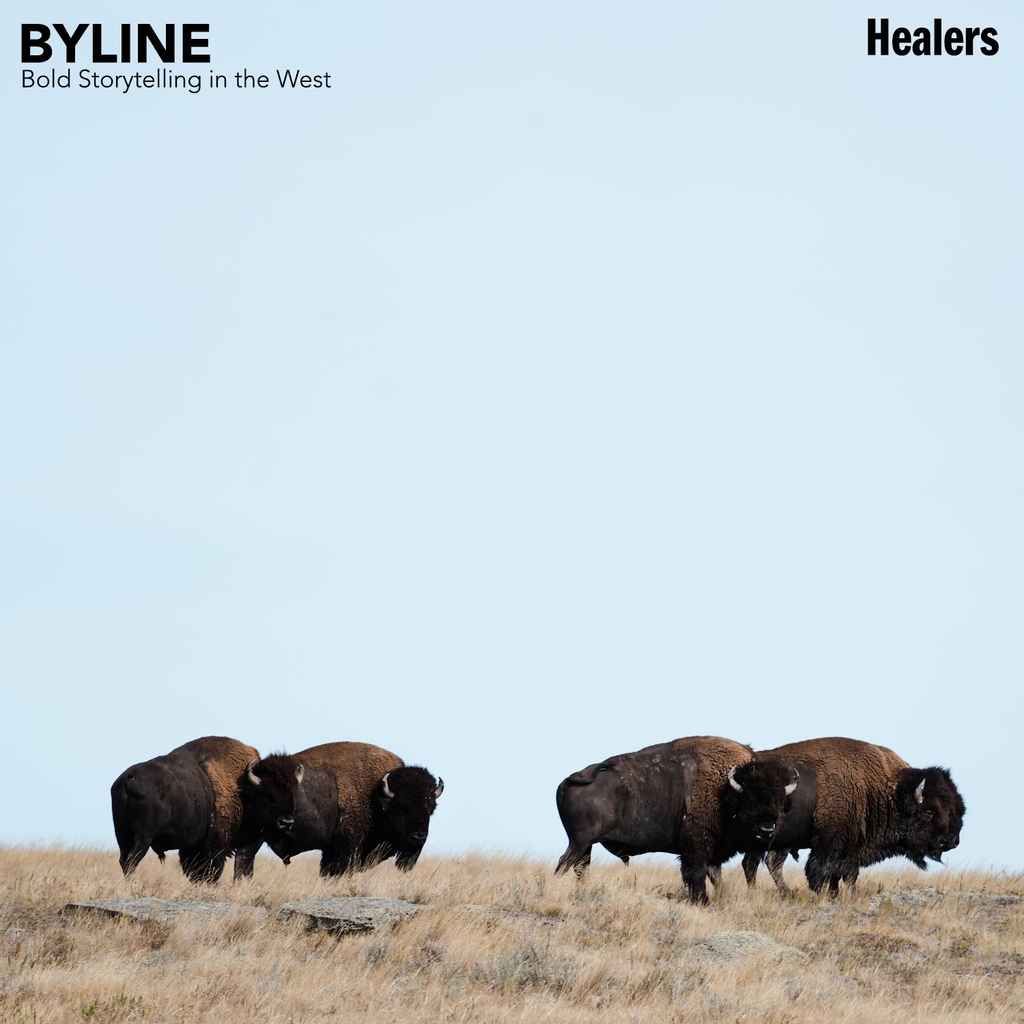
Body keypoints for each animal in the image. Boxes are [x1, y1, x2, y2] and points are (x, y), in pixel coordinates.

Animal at [110, 735, 259, 883]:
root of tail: (128, 779)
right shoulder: (217, 844)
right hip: (143, 837)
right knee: (132, 859)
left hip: (123, 835)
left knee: (124, 859)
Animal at [234, 741, 443, 879]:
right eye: (401, 807)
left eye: (431, 808)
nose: (419, 836)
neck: (375, 794)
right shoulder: (347, 847)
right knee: (244, 859)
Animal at [554, 735, 776, 904]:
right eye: (750, 799)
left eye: (779, 800)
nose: (767, 830)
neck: (724, 790)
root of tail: (571, 778)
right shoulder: (697, 850)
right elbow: (697, 876)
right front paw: (702, 901)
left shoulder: (710, 853)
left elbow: (714, 877)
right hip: (579, 842)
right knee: (564, 864)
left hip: (585, 845)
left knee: (580, 868)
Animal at [730, 737, 966, 896]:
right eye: (930, 811)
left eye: (957, 809)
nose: (951, 841)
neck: (884, 791)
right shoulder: (829, 845)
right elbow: (822, 871)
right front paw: (825, 894)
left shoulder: (852, 849)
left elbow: (847, 875)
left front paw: (843, 894)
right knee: (764, 863)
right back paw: (783, 892)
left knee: (754, 863)